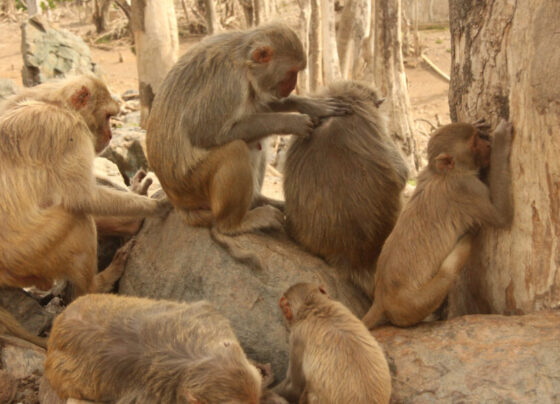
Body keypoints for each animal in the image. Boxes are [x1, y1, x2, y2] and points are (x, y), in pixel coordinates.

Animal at [0, 76, 168, 348]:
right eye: (108, 116)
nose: (110, 134)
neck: (56, 104)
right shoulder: (69, 131)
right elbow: (82, 197)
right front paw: (156, 207)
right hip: (32, 254)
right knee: (77, 217)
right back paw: (96, 285)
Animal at [147, 22, 352, 268]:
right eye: (292, 72)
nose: (293, 87)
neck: (243, 61)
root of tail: (179, 204)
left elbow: (260, 104)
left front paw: (310, 105)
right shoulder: (228, 84)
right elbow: (203, 132)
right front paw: (293, 122)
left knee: (255, 142)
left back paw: (259, 201)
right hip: (192, 186)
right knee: (235, 150)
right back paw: (235, 224)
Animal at [366, 120, 516, 328]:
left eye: (477, 136)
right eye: (475, 143)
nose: (488, 145)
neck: (442, 174)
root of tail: (380, 299)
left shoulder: (427, 172)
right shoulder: (465, 187)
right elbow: (502, 215)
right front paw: (501, 141)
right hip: (412, 304)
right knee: (447, 274)